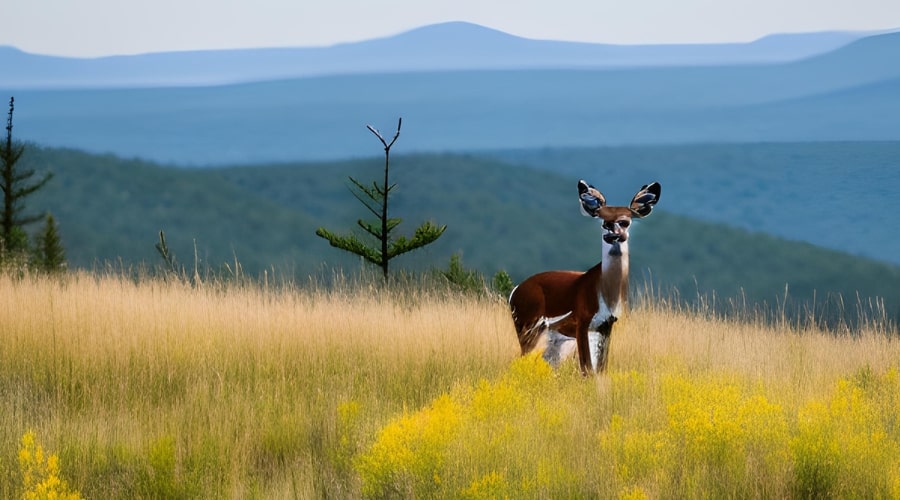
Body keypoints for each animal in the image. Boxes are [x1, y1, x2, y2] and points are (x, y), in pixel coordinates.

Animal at [506, 180, 660, 376]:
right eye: (603, 221)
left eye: (626, 221)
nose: (613, 232)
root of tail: (515, 291)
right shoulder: (582, 320)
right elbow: (586, 368)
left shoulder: (605, 326)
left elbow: (600, 368)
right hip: (529, 325)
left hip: (554, 339)